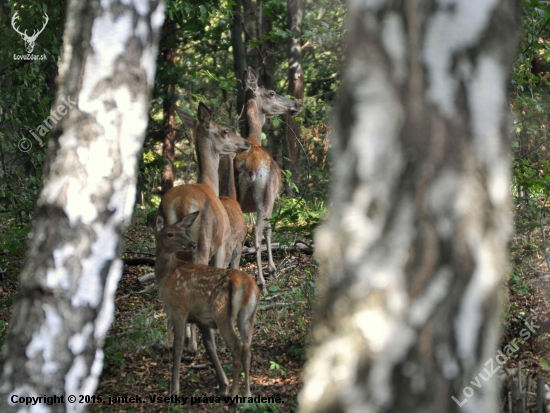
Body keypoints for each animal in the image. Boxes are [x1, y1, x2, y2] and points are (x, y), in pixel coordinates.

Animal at [154, 212, 260, 396]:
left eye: (183, 231)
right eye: (170, 233)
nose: (192, 243)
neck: (168, 274)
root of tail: (248, 287)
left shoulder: (179, 308)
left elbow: (178, 348)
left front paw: (174, 389)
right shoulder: (201, 318)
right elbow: (210, 346)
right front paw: (222, 384)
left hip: (222, 312)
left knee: (237, 347)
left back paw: (235, 393)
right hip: (248, 316)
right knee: (247, 350)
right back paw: (247, 393)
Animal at [220, 67, 304, 292]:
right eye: (272, 93)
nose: (297, 104)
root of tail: (247, 165)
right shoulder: (272, 197)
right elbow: (269, 229)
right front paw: (273, 268)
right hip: (265, 193)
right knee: (258, 230)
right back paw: (261, 281)